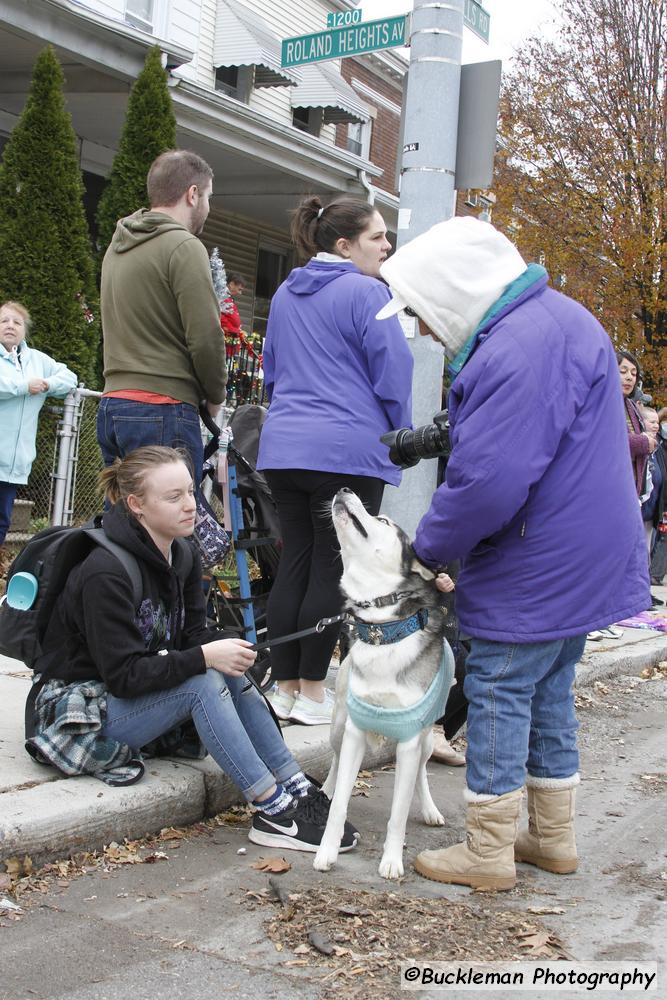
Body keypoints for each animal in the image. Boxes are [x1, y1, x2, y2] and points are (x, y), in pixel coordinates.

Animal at [314, 488, 454, 880]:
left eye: (384, 521)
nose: (344, 489)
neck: (381, 631)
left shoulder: (408, 742)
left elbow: (398, 813)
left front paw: (392, 860)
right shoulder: (355, 733)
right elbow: (340, 806)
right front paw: (327, 851)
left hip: (425, 741)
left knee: (421, 774)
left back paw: (430, 809)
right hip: (339, 725)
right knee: (334, 761)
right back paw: (327, 788)